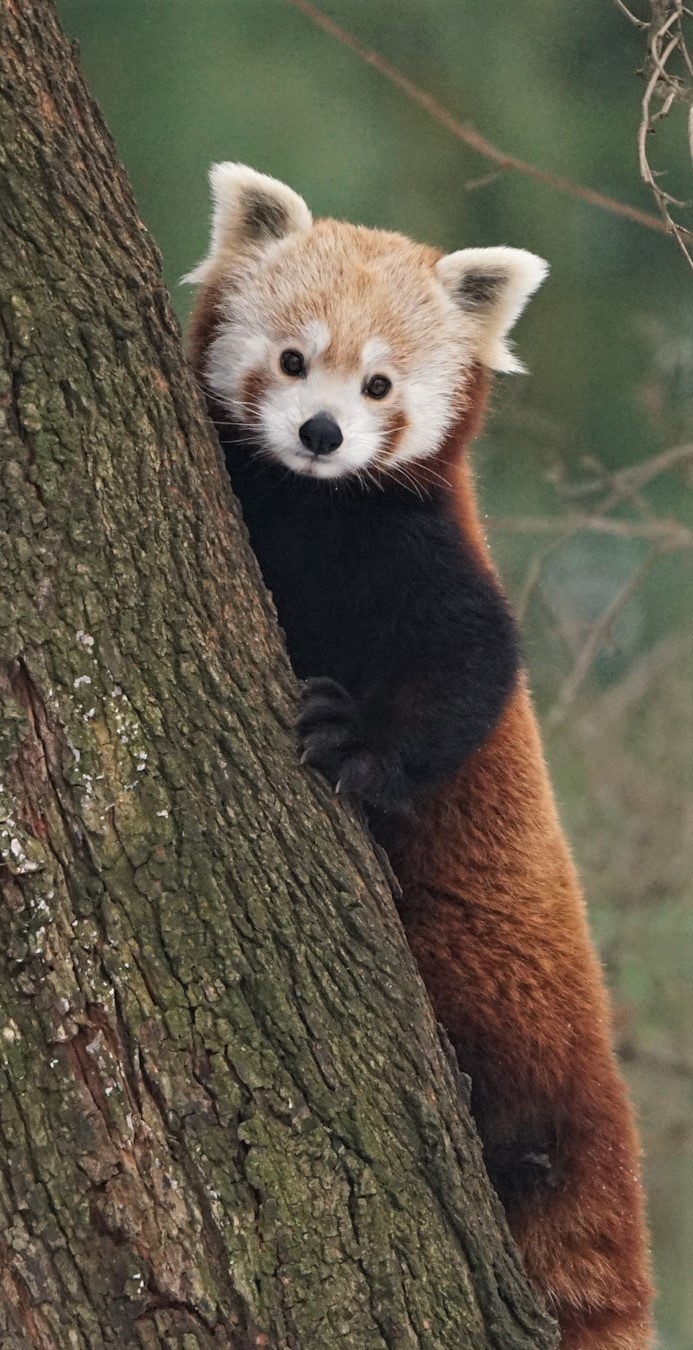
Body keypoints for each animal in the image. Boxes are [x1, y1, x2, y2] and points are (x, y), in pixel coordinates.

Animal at [186, 163, 651, 1344]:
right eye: (293, 360)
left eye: (381, 385)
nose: (321, 434)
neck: (309, 507)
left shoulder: (423, 552)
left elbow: (471, 670)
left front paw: (357, 749)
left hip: (496, 977)